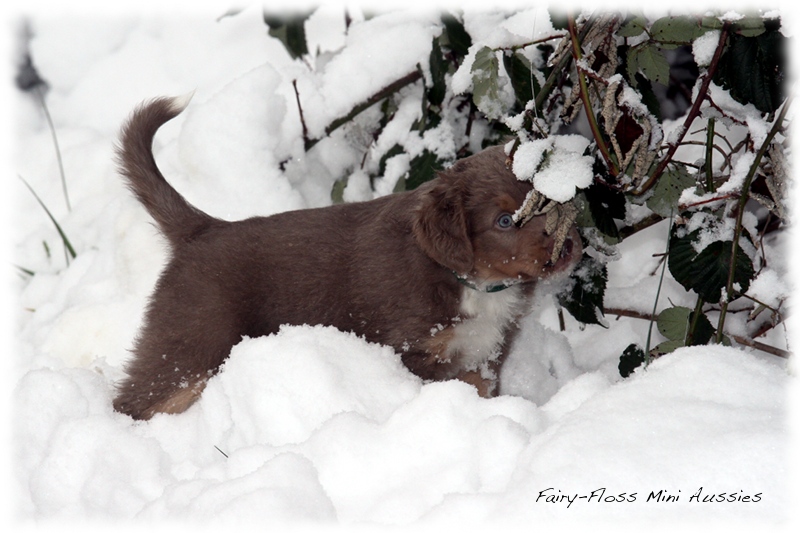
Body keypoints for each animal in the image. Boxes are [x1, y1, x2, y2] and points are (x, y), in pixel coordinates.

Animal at [112, 96, 580, 420]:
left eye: (550, 201)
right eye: (504, 220)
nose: (569, 246)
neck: (473, 283)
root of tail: (203, 229)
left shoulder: (486, 352)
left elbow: (481, 389)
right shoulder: (410, 350)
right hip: (190, 344)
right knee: (136, 400)